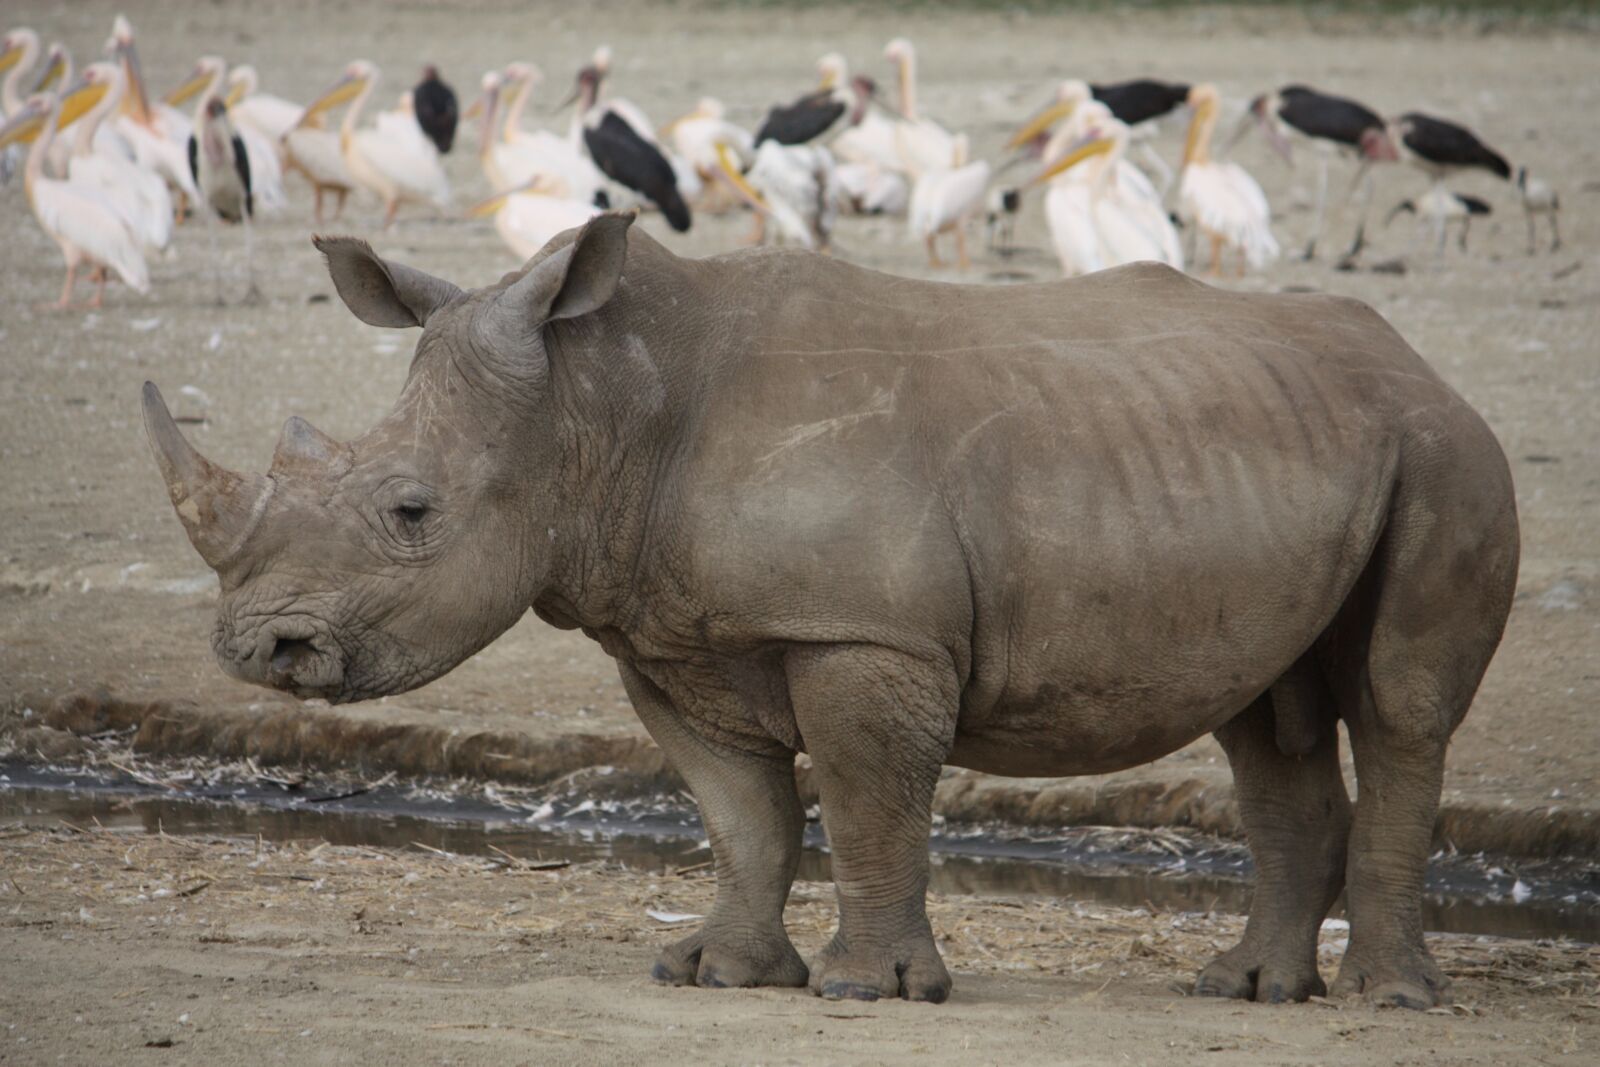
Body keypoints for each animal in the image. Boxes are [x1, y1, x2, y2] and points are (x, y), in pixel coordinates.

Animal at [142, 213, 1518, 1009]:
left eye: (412, 510)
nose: (259, 648)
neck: (599, 407)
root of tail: (1423, 363)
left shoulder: (861, 629)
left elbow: (863, 797)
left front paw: (869, 990)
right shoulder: (671, 633)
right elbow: (740, 812)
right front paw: (717, 974)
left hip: (1443, 452)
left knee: (1398, 708)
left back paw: (1386, 1000)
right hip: (1278, 448)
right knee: (1264, 714)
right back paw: (1243, 989)